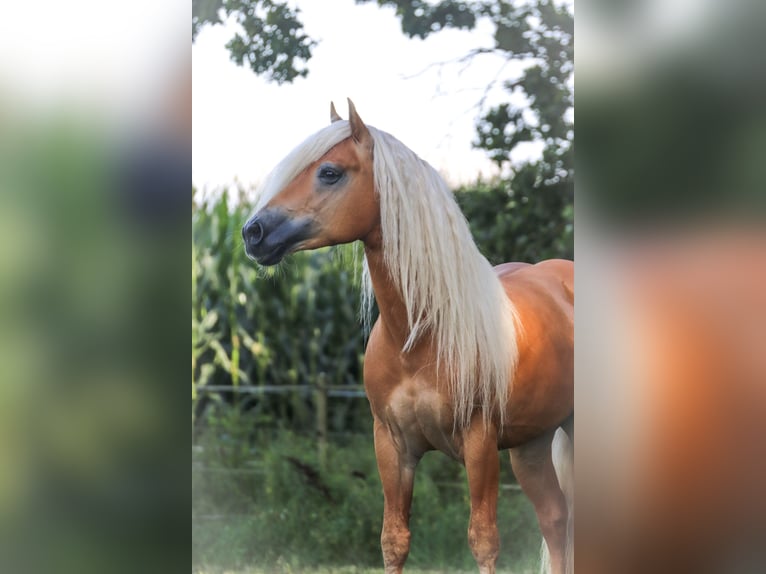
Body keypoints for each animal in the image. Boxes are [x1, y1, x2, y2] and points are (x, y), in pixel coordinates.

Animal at [242, 99, 574, 574]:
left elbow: (483, 540)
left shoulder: (479, 444)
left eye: (330, 172)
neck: (419, 334)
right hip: (531, 445)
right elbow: (394, 540)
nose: (253, 233)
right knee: (555, 517)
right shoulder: (391, 445)